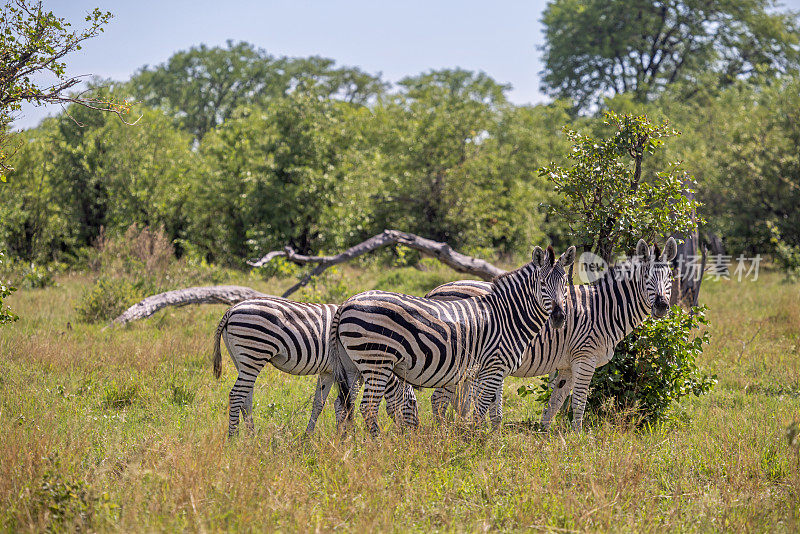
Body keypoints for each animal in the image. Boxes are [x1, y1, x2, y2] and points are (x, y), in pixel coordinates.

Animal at [212, 298, 418, 440]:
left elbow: (320, 404)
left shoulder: (328, 372)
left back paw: (252, 436)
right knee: (236, 395)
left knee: (246, 398)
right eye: (413, 403)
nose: (415, 435)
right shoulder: (355, 371)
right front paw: (347, 436)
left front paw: (311, 437)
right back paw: (233, 438)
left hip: (243, 360)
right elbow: (346, 403)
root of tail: (231, 310)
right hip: (254, 352)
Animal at [332, 246, 576, 436]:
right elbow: (481, 408)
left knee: (344, 404)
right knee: (368, 407)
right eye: (542, 283)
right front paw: (476, 443)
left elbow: (493, 411)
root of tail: (346, 303)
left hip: (352, 366)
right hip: (376, 361)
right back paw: (377, 444)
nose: (558, 317)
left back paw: (348, 443)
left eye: (565, 283)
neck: (508, 315)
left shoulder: (491, 370)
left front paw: (490, 440)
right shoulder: (493, 367)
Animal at [424, 239, 676, 432]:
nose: (662, 306)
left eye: (670, 277)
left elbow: (556, 400)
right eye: (646, 278)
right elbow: (579, 401)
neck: (603, 308)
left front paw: (545, 435)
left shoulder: (567, 364)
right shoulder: (585, 358)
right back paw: (442, 434)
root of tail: (435, 291)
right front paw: (578, 439)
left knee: (455, 401)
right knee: (440, 400)